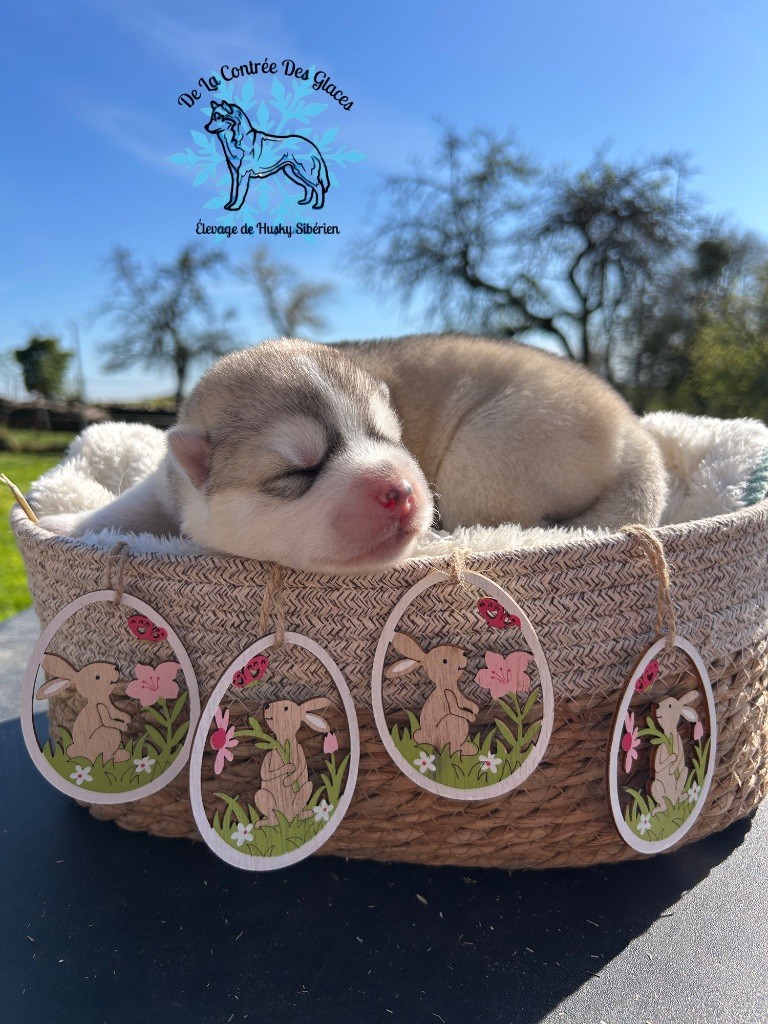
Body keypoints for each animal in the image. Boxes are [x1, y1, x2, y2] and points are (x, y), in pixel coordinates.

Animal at [38, 335, 668, 574]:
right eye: (298, 469)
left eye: (389, 437)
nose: (401, 491)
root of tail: (634, 431)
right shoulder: (169, 480)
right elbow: (128, 504)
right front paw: (68, 522)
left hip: (489, 454)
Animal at [253, 697, 331, 826]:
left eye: (286, 708)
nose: (266, 705)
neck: (285, 742)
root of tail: (288, 818)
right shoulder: (269, 754)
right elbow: (266, 774)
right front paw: (289, 767)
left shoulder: (300, 751)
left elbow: (300, 767)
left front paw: (288, 780)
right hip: (262, 796)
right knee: (274, 817)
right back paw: (265, 823)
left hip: (306, 789)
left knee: (297, 811)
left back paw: (304, 815)